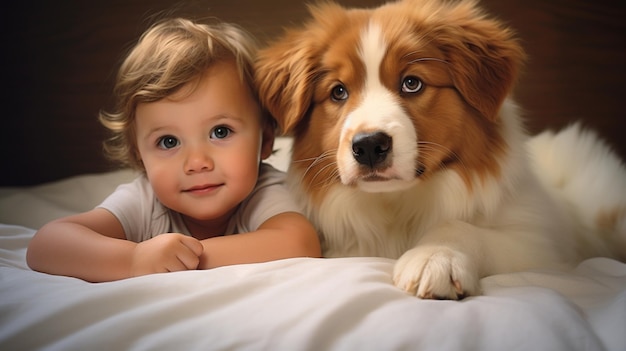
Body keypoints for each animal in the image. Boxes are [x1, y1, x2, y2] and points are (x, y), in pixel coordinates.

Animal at [255, 0, 624, 300]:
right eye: (338, 92)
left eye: (412, 83)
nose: (369, 145)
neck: (396, 206)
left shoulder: (539, 245)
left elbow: (459, 226)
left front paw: (435, 257)